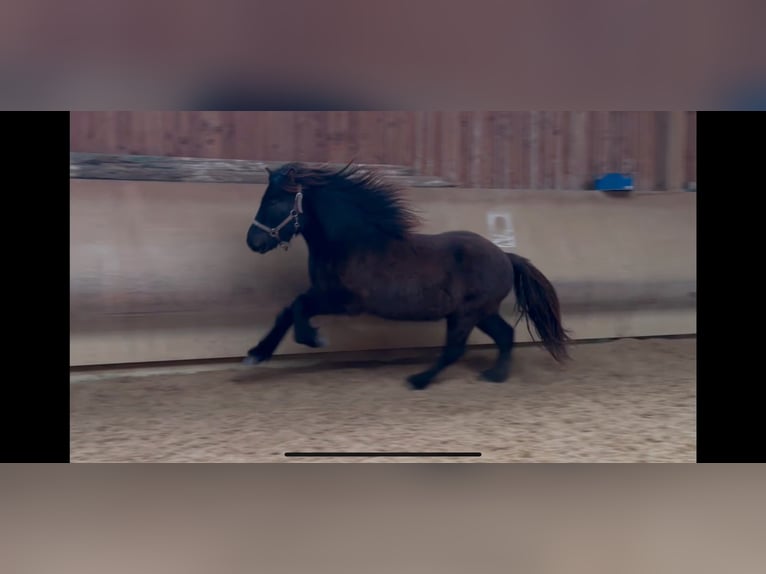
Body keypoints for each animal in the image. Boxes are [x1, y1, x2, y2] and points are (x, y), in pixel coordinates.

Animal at [244, 162, 571, 390]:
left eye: (274, 201)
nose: (253, 242)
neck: (350, 242)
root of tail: (506, 257)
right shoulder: (322, 293)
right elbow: (288, 311)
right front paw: (256, 354)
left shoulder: (345, 302)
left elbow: (297, 308)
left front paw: (313, 338)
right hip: (482, 313)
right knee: (504, 335)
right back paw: (494, 375)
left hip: (466, 313)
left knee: (455, 349)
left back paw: (419, 380)